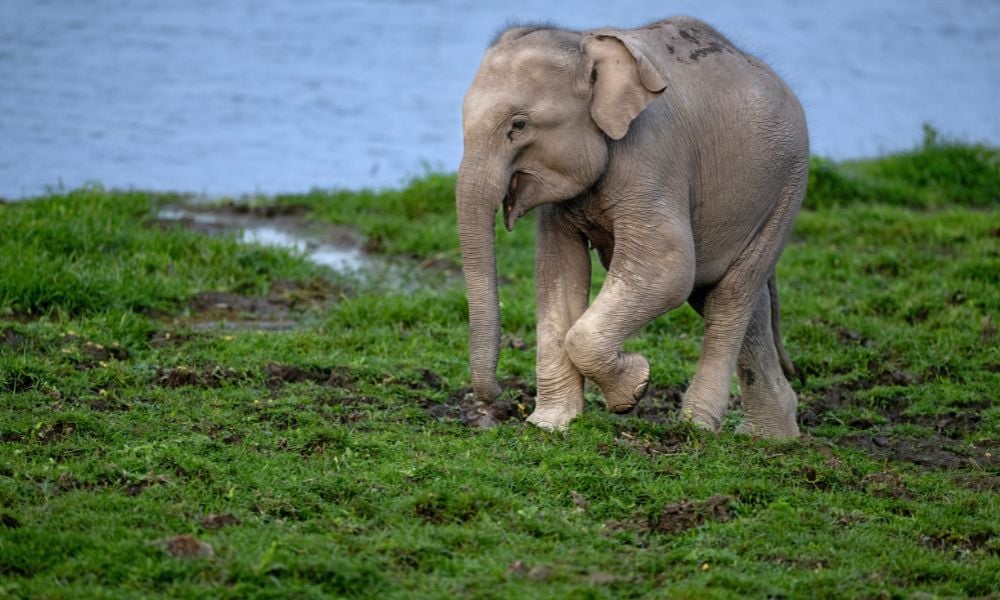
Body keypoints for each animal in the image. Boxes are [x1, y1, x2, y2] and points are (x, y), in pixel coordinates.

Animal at [456, 16, 808, 437]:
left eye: (519, 125)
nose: (498, 400)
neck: (585, 43)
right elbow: (558, 271)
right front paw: (550, 425)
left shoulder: (653, 158)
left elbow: (667, 268)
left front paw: (635, 388)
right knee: (731, 297)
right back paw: (772, 437)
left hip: (786, 189)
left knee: (730, 295)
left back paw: (697, 426)